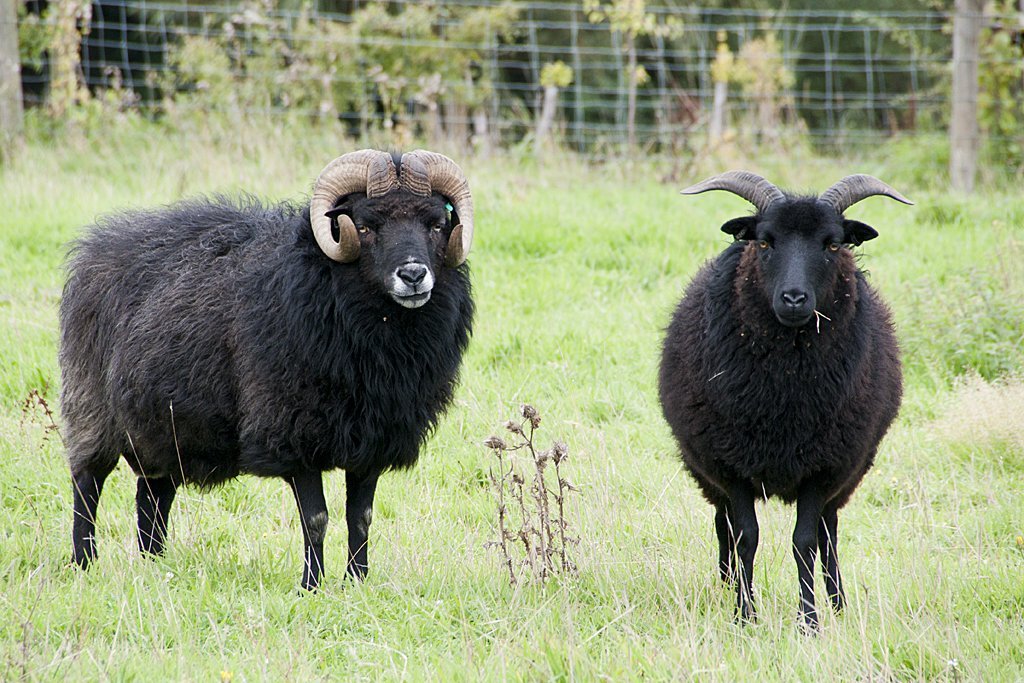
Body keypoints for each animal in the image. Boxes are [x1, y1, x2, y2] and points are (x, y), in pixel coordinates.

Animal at [60, 149, 475, 591]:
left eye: (436, 223)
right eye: (365, 226)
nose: (413, 275)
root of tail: (96, 245)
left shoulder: (372, 441)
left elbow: (360, 518)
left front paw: (356, 582)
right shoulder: (293, 435)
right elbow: (316, 519)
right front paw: (312, 586)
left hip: (165, 426)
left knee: (153, 494)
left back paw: (156, 564)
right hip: (91, 408)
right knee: (87, 485)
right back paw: (84, 562)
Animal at [658, 171, 910, 629]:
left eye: (833, 244)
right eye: (764, 242)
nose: (794, 298)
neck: (784, 396)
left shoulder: (822, 467)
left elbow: (804, 541)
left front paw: (809, 620)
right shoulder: (731, 465)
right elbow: (746, 537)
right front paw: (743, 615)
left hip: (848, 468)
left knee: (829, 532)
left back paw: (838, 603)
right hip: (706, 468)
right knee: (723, 524)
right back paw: (725, 585)